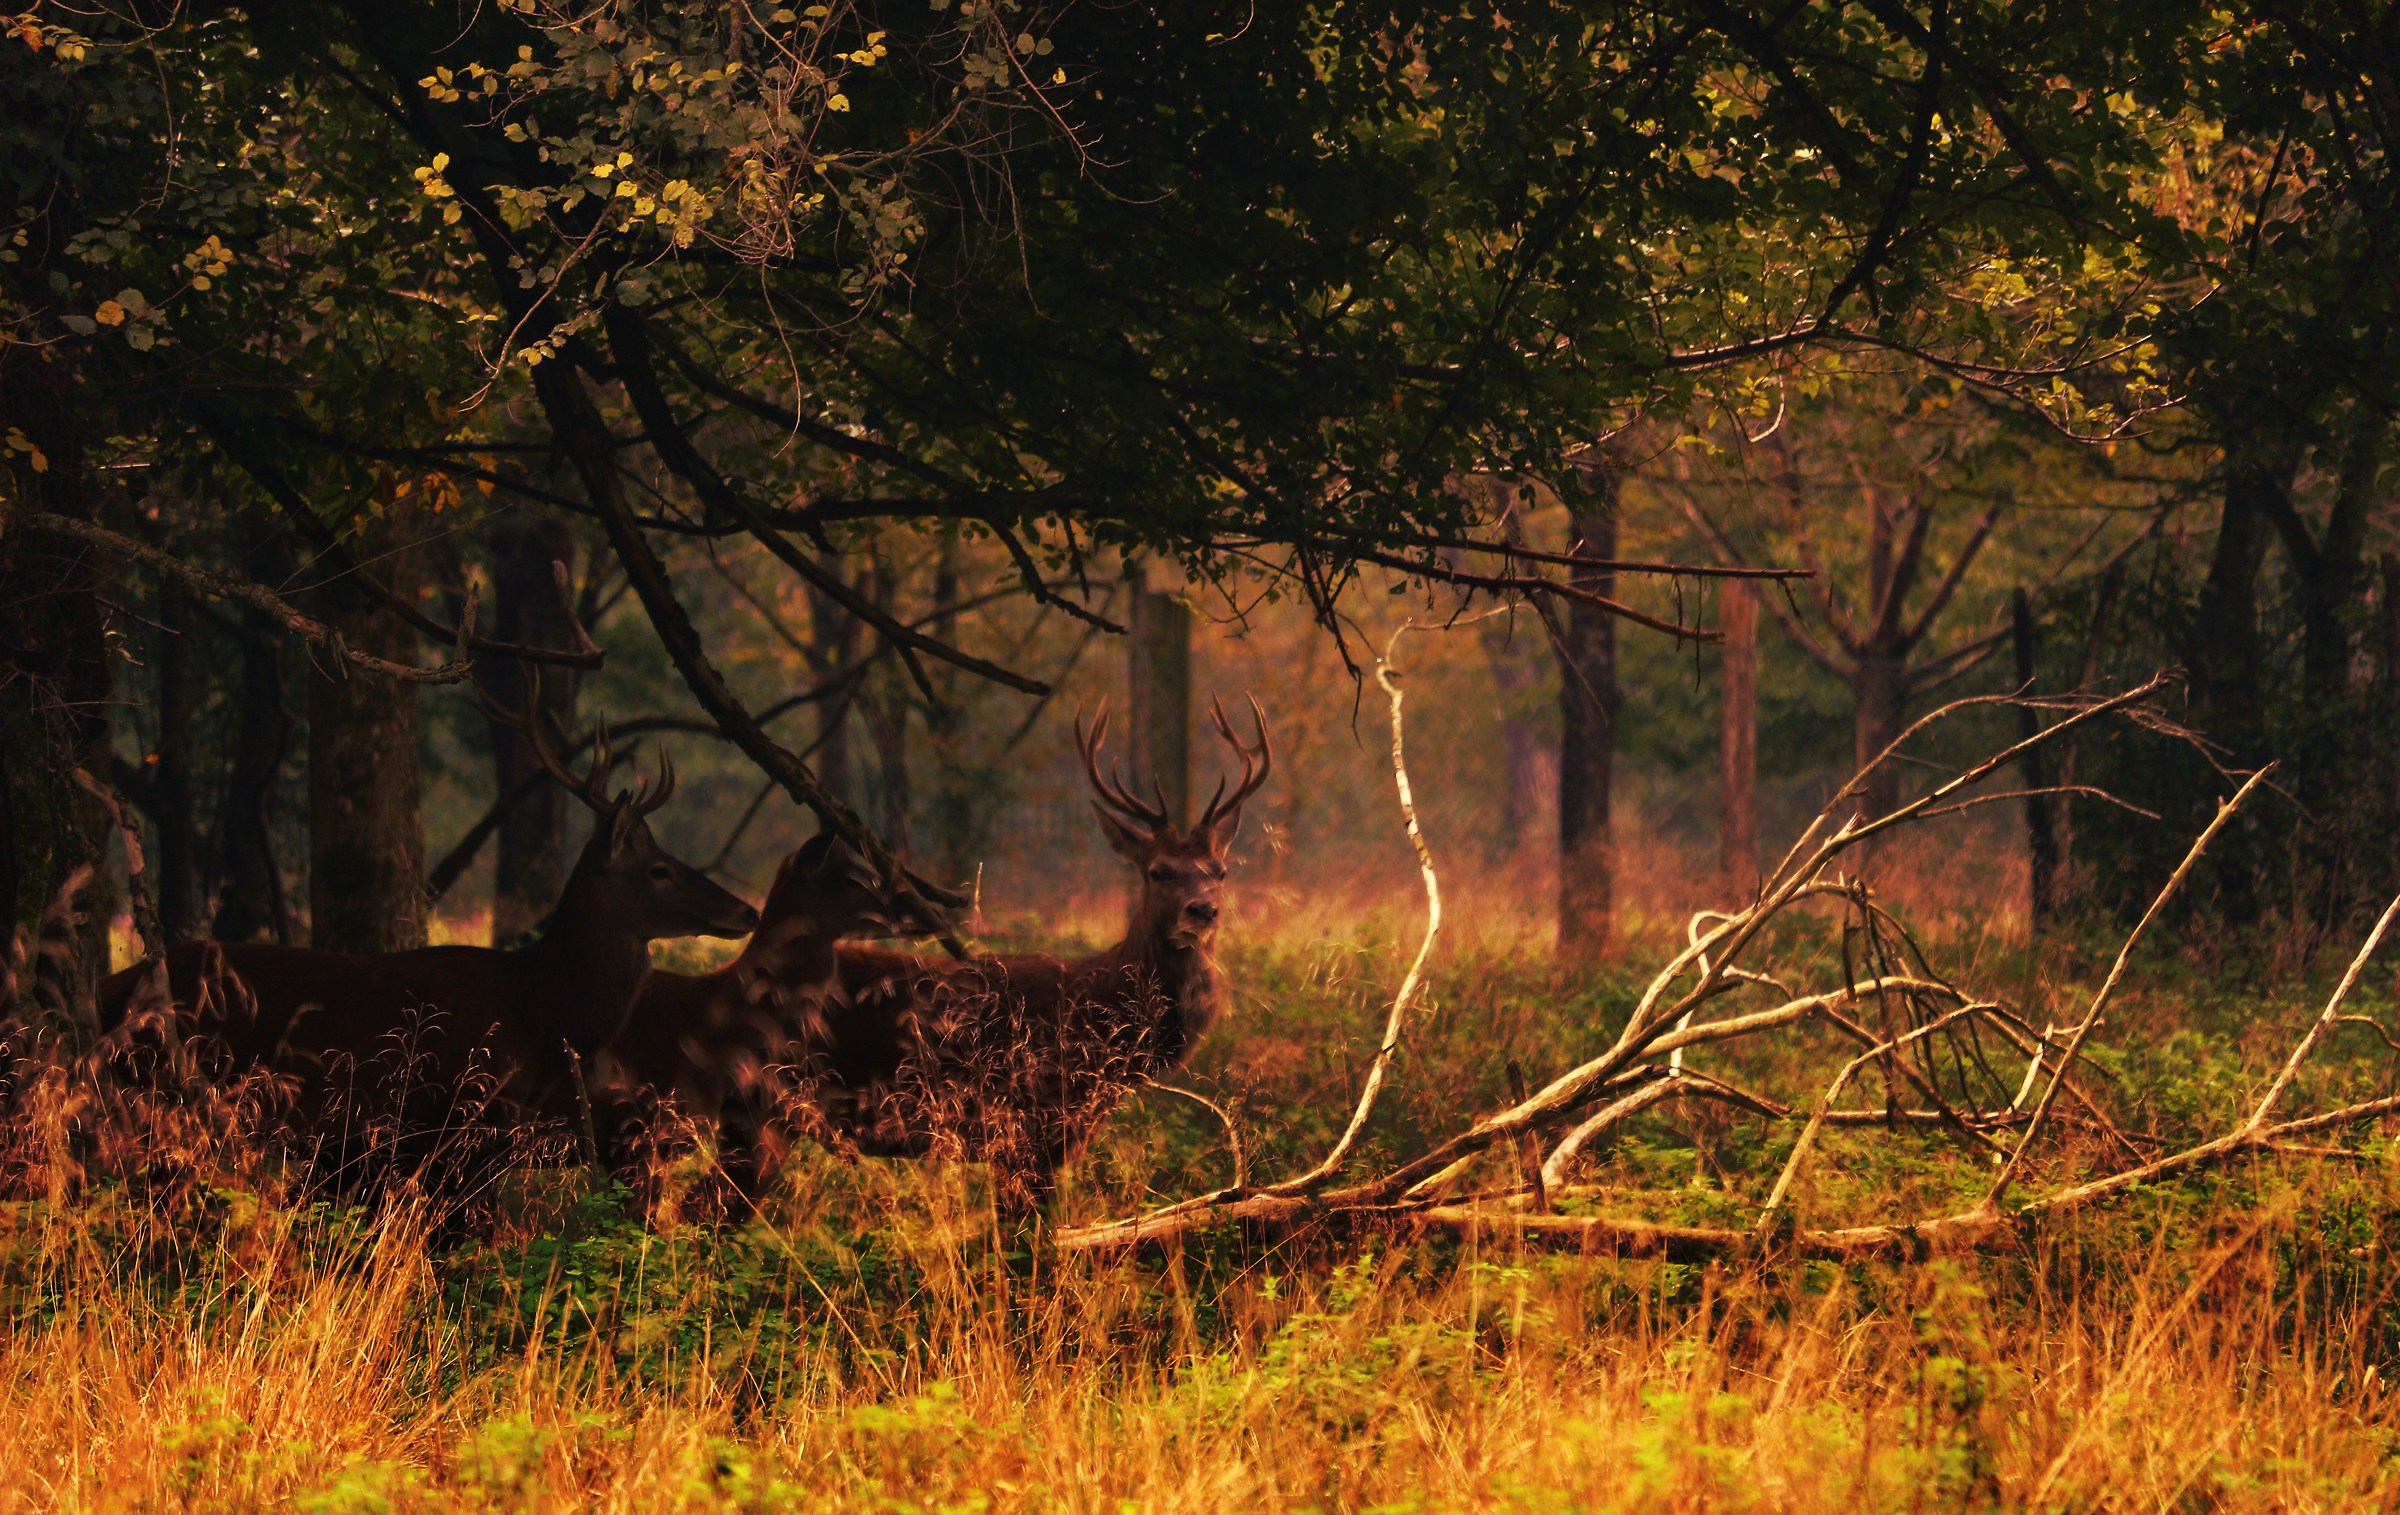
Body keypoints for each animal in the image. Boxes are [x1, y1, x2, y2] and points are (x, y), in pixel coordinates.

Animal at [95, 697, 759, 1218]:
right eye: (659, 869)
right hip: (169, 1102)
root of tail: (112, 989)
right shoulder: (454, 1121)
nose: (746, 912)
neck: (537, 1009)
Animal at [659, 696, 1271, 1218]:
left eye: (1220, 871)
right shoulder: (1027, 1128)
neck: (1099, 1019)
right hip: (754, 1104)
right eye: (1156, 871)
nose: (1203, 910)